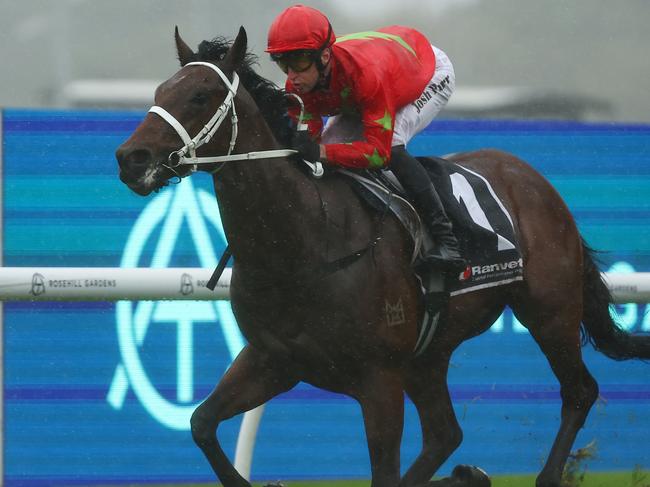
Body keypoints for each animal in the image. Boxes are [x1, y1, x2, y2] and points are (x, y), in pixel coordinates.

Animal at [115, 27, 648, 487]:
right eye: (161, 90)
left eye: (200, 95)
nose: (130, 158)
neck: (301, 244)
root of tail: (533, 179)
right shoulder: (273, 360)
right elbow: (202, 423)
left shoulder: (378, 379)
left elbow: (383, 473)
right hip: (429, 354)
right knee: (444, 434)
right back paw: (466, 475)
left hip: (549, 310)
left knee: (578, 391)